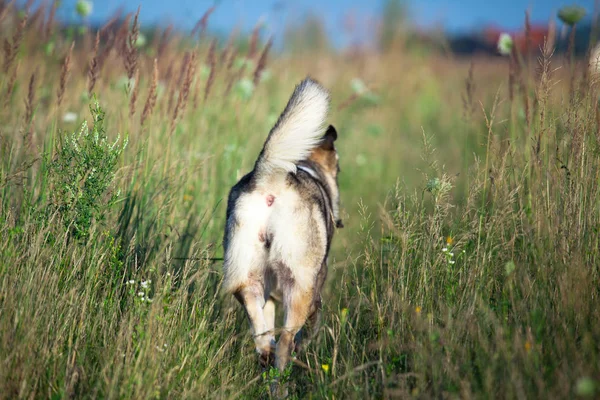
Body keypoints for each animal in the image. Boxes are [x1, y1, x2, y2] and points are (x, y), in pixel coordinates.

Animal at [223, 78, 342, 372]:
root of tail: (270, 179)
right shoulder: (314, 294)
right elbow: (310, 328)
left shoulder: (271, 297)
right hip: (300, 287)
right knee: (287, 339)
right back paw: (282, 371)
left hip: (246, 274)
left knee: (259, 326)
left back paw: (266, 352)